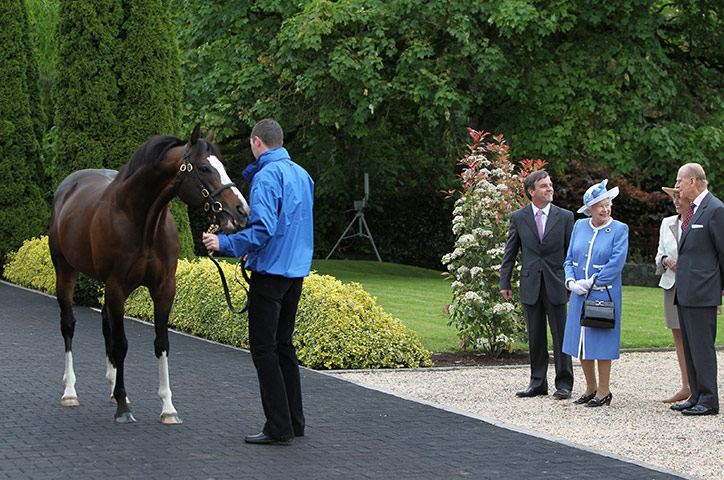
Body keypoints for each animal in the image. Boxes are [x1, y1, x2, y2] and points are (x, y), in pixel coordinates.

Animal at [48, 124, 249, 424]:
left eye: (222, 166)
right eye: (204, 168)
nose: (241, 210)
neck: (141, 221)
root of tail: (68, 186)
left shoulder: (164, 288)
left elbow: (161, 342)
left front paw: (167, 408)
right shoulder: (117, 286)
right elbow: (121, 344)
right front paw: (123, 408)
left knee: (105, 324)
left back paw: (112, 387)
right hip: (65, 271)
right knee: (69, 325)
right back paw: (71, 392)